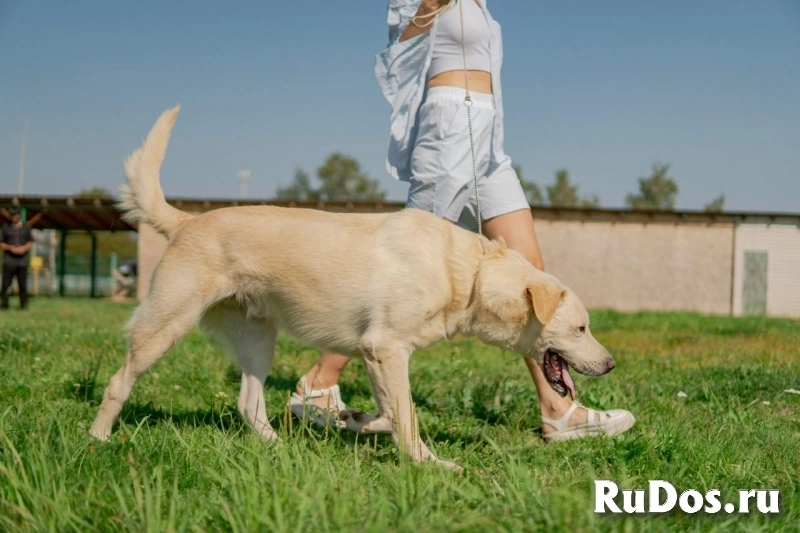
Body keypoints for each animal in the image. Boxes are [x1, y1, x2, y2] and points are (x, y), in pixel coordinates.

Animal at [94, 107, 620, 466]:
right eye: (581, 328)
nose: (613, 365)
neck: (467, 275)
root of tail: (187, 222)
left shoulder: (379, 357)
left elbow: (391, 411)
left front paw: (358, 422)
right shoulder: (383, 349)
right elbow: (406, 416)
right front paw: (431, 464)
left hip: (258, 338)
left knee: (248, 402)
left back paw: (280, 448)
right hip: (165, 324)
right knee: (119, 382)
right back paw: (97, 440)